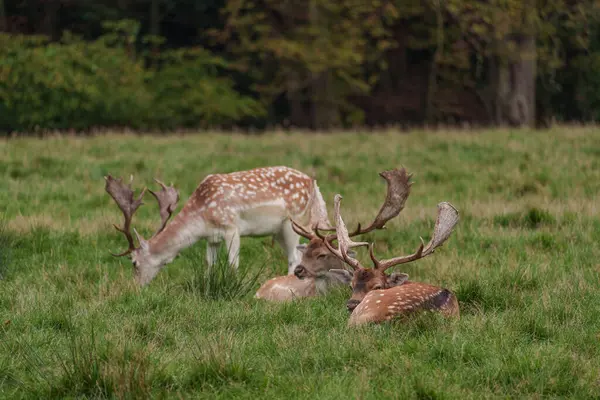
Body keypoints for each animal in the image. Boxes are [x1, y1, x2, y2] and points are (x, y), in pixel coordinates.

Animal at [102, 167, 328, 286]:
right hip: (279, 230)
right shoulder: (211, 239)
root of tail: (314, 183)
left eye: (134, 262)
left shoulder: (232, 227)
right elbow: (210, 266)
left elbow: (233, 264)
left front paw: (235, 286)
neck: (202, 216)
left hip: (294, 222)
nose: (134, 287)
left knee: (294, 256)